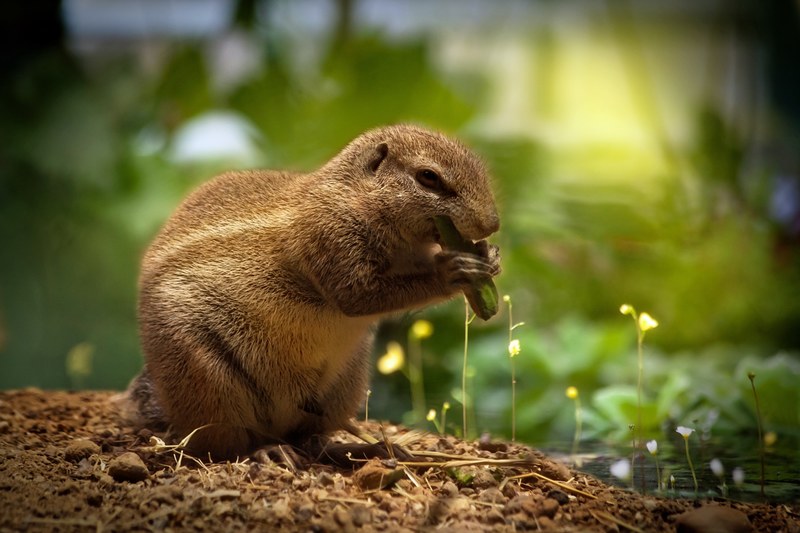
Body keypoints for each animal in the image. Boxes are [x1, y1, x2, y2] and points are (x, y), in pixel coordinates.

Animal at [123, 124, 501, 460]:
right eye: (428, 177)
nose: (492, 224)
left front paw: (489, 257)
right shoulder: (328, 236)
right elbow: (359, 296)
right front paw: (453, 271)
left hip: (344, 385)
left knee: (309, 439)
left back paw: (365, 448)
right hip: (207, 378)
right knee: (225, 446)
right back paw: (267, 451)